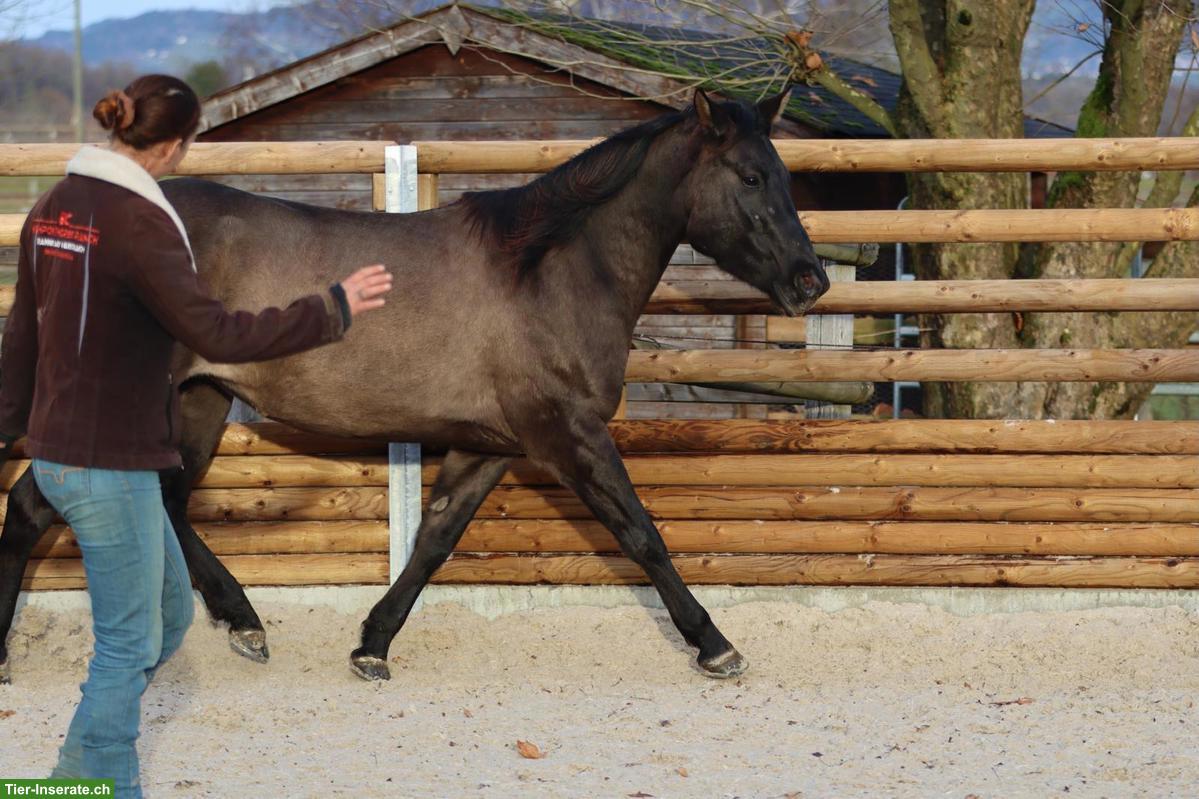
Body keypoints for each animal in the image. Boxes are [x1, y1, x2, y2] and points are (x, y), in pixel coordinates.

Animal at [0, 88, 828, 684]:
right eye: (751, 175)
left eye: (786, 175)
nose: (809, 281)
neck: (548, 270)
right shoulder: (567, 434)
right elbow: (641, 534)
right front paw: (715, 645)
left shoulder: (493, 444)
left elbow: (435, 539)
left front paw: (372, 644)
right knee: (36, 503)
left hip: (196, 398)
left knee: (163, 500)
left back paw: (244, 622)